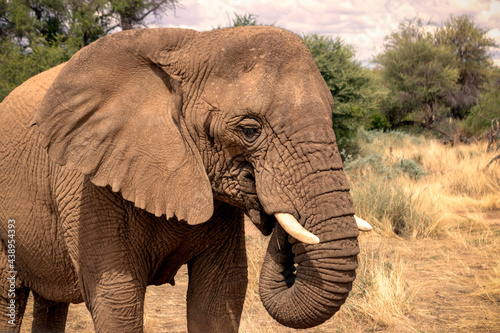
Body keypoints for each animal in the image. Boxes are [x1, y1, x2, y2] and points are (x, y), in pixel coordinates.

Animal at [0, 26, 368, 332]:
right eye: (250, 130)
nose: (272, 208)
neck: (192, 45)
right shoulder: (88, 186)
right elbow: (117, 297)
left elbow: (220, 293)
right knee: (8, 297)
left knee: (50, 302)